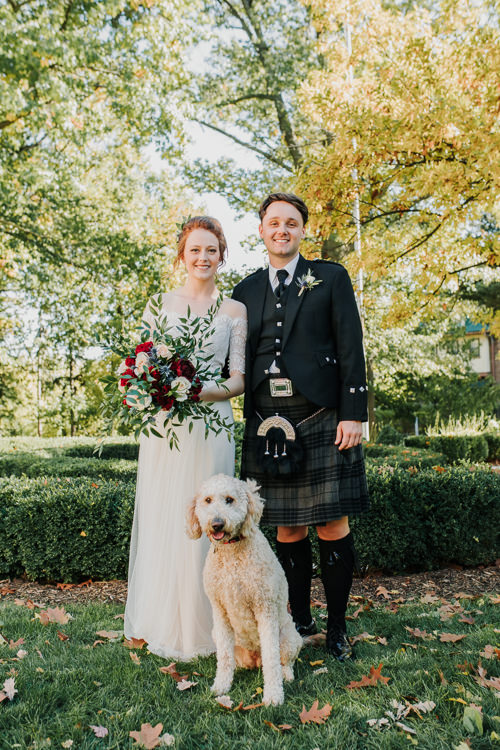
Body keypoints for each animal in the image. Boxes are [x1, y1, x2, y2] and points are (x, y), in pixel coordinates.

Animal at [187, 472, 300, 708]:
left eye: (229, 499)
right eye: (207, 500)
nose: (217, 524)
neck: (232, 552)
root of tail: (255, 659)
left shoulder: (265, 608)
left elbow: (272, 659)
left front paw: (273, 696)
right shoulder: (219, 611)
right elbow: (224, 658)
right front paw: (221, 685)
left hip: (289, 637)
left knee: (283, 661)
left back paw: (286, 675)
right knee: (231, 657)